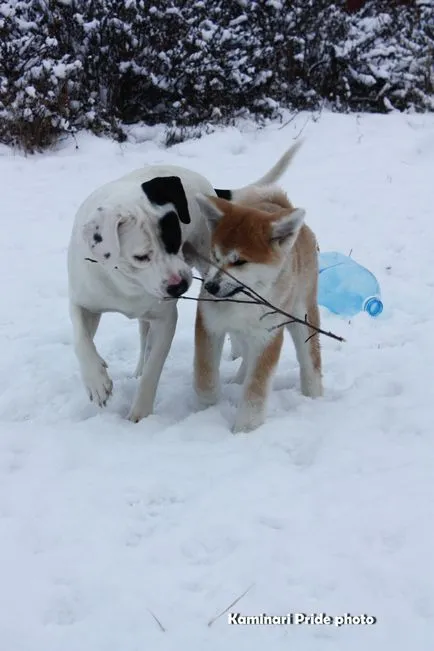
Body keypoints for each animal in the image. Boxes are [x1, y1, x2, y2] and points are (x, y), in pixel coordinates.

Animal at [68, 144, 300, 422]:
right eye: (141, 256)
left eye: (175, 239)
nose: (180, 286)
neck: (129, 284)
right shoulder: (84, 300)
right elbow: (81, 339)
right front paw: (96, 380)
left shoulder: (166, 319)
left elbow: (153, 370)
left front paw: (139, 415)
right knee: (142, 336)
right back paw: (136, 368)